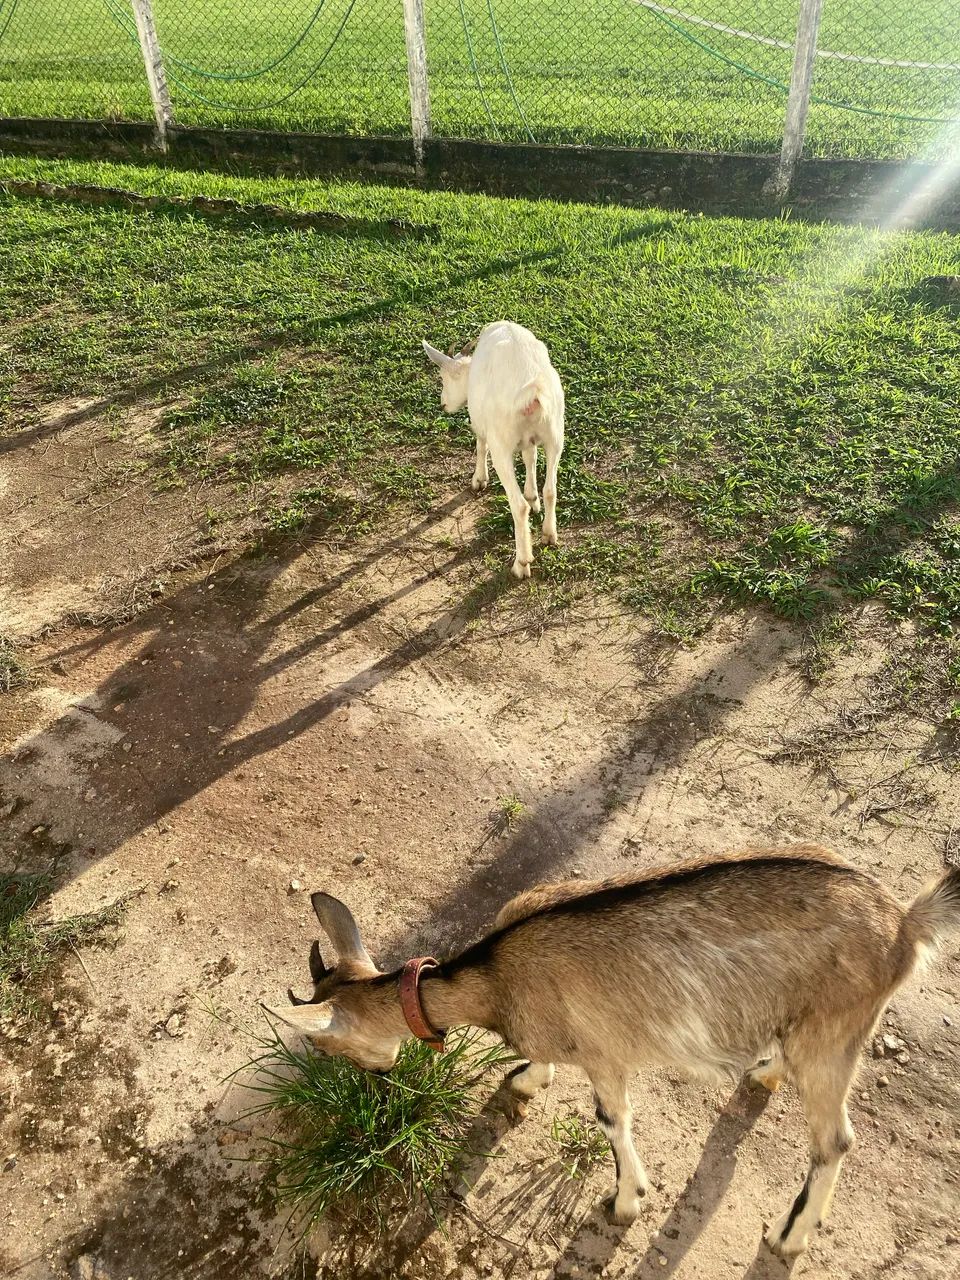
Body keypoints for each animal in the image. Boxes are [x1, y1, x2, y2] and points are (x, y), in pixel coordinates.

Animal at [267, 844, 960, 1258]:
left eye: (334, 1044)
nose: (373, 1078)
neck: (498, 978)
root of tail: (906, 923)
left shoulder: (604, 1055)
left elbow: (612, 1121)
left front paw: (627, 1200)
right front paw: (527, 1079)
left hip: (836, 1030)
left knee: (834, 1141)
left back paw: (789, 1236)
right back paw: (764, 1071)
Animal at [422, 321, 565, 578]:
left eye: (444, 377)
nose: (443, 404)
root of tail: (533, 393)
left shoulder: (480, 421)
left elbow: (480, 444)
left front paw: (478, 480)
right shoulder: (530, 439)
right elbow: (530, 456)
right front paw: (533, 497)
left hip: (502, 444)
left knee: (517, 505)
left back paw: (521, 564)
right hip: (555, 433)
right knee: (551, 488)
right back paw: (549, 535)